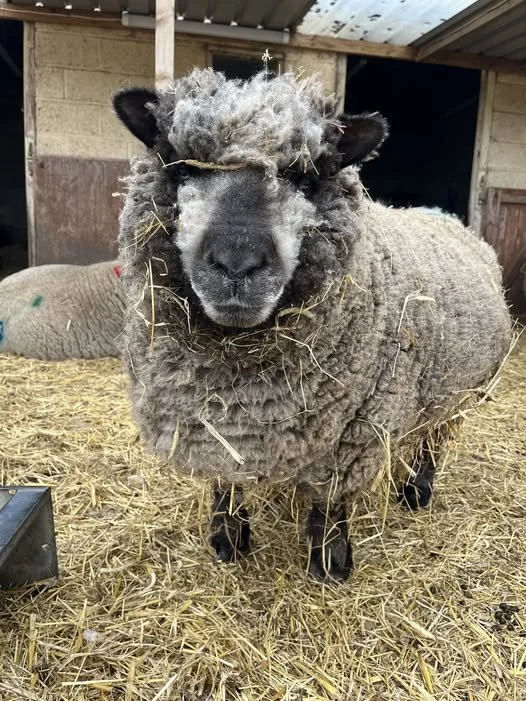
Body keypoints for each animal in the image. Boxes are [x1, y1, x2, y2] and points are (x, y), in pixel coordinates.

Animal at [113, 69, 512, 582]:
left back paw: (415, 491)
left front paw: (330, 559)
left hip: (458, 392)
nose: (237, 265)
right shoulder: (214, 430)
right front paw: (228, 538)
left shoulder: (354, 436)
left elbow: (331, 500)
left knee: (432, 443)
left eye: (302, 177)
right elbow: (226, 483)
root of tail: (441, 216)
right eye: (183, 168)